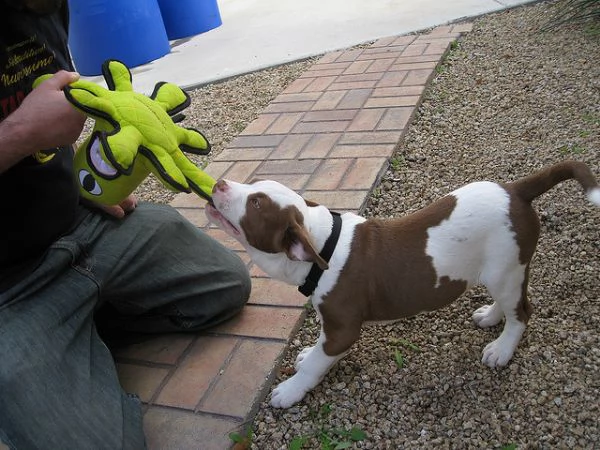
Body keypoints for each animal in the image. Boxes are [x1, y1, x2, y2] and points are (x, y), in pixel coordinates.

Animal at [206, 161, 600, 408]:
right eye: (254, 189)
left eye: (256, 203)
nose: (219, 183)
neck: (324, 244)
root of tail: (515, 191)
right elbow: (316, 349)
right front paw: (304, 355)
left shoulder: (343, 329)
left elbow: (318, 362)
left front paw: (290, 390)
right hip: (500, 271)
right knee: (508, 303)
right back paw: (489, 316)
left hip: (507, 269)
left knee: (522, 312)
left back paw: (501, 349)